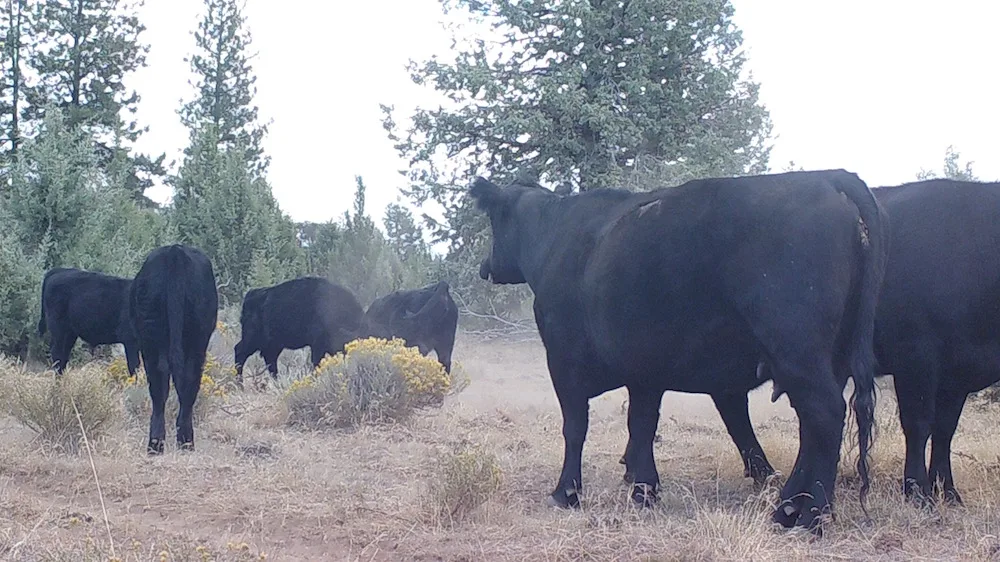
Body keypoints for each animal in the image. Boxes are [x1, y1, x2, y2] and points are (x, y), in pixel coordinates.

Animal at [129, 244, 218, 454]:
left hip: (155, 340)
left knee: (161, 385)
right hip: (195, 339)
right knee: (185, 381)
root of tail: (175, 252)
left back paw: (160, 443)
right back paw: (181, 442)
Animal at [233, 276, 364, 384]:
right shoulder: (317, 345)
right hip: (253, 339)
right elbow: (316, 363)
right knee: (240, 352)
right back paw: (240, 385)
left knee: (270, 360)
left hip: (274, 345)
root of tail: (250, 295)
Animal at [472, 169, 888, 534]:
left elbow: (575, 427)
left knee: (825, 417)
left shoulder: (563, 360)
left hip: (798, 352)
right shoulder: (644, 369)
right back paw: (791, 508)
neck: (555, 237)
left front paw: (566, 493)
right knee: (812, 430)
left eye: (493, 221)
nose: (485, 266)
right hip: (827, 358)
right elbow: (641, 425)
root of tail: (830, 176)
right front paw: (644, 490)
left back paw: (808, 517)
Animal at [619, 178, 1000, 508]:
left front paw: (947, 491)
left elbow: (945, 430)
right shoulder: (917, 355)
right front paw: (918, 492)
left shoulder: (956, 375)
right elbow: (919, 425)